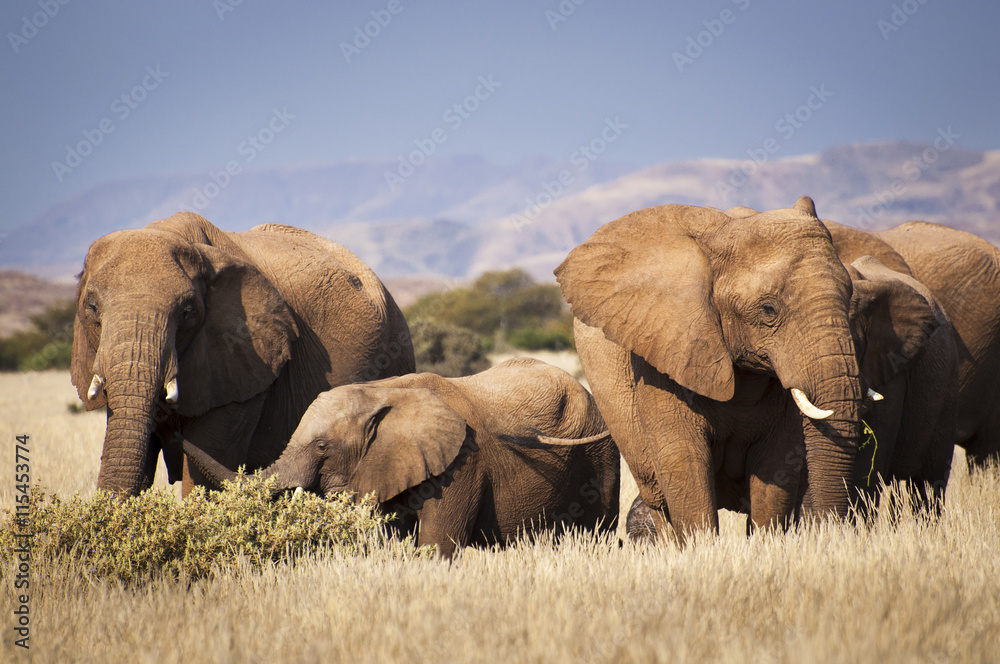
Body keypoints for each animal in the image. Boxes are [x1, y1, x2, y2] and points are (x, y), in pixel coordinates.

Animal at [182, 358, 621, 558]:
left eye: (323, 447)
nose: (173, 425)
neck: (383, 392)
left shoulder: (463, 465)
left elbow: (435, 547)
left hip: (600, 455)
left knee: (597, 528)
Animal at [555, 197, 874, 542]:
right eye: (768, 309)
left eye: (850, 296)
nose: (834, 532)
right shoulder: (664, 352)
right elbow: (684, 462)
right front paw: (700, 547)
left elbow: (777, 467)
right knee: (658, 498)